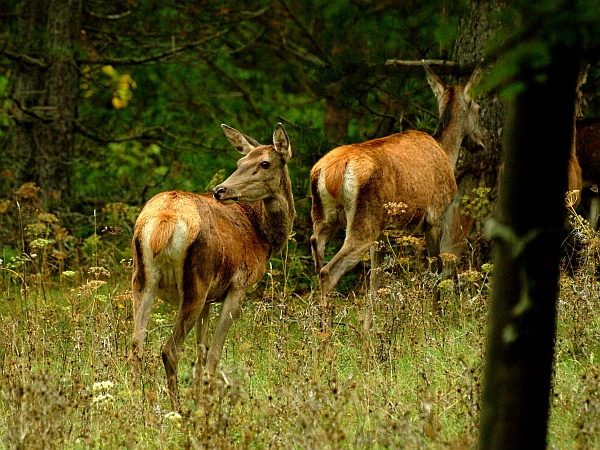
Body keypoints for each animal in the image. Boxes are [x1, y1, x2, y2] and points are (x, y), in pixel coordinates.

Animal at [130, 124, 294, 412]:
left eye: (264, 163)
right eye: (241, 162)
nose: (221, 190)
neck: (262, 237)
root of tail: (163, 221)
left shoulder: (209, 299)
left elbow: (200, 350)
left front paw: (199, 395)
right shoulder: (239, 285)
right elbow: (214, 352)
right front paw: (205, 402)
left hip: (142, 278)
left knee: (136, 343)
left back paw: (132, 403)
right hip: (195, 280)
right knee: (169, 348)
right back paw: (177, 410)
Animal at [312, 64, 486, 330]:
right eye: (478, 109)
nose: (480, 142)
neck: (446, 152)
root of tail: (331, 171)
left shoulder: (383, 235)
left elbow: (376, 280)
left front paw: (370, 328)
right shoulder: (435, 214)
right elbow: (435, 268)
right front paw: (436, 317)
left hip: (325, 216)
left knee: (316, 249)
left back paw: (318, 328)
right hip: (365, 219)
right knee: (328, 272)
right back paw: (326, 335)